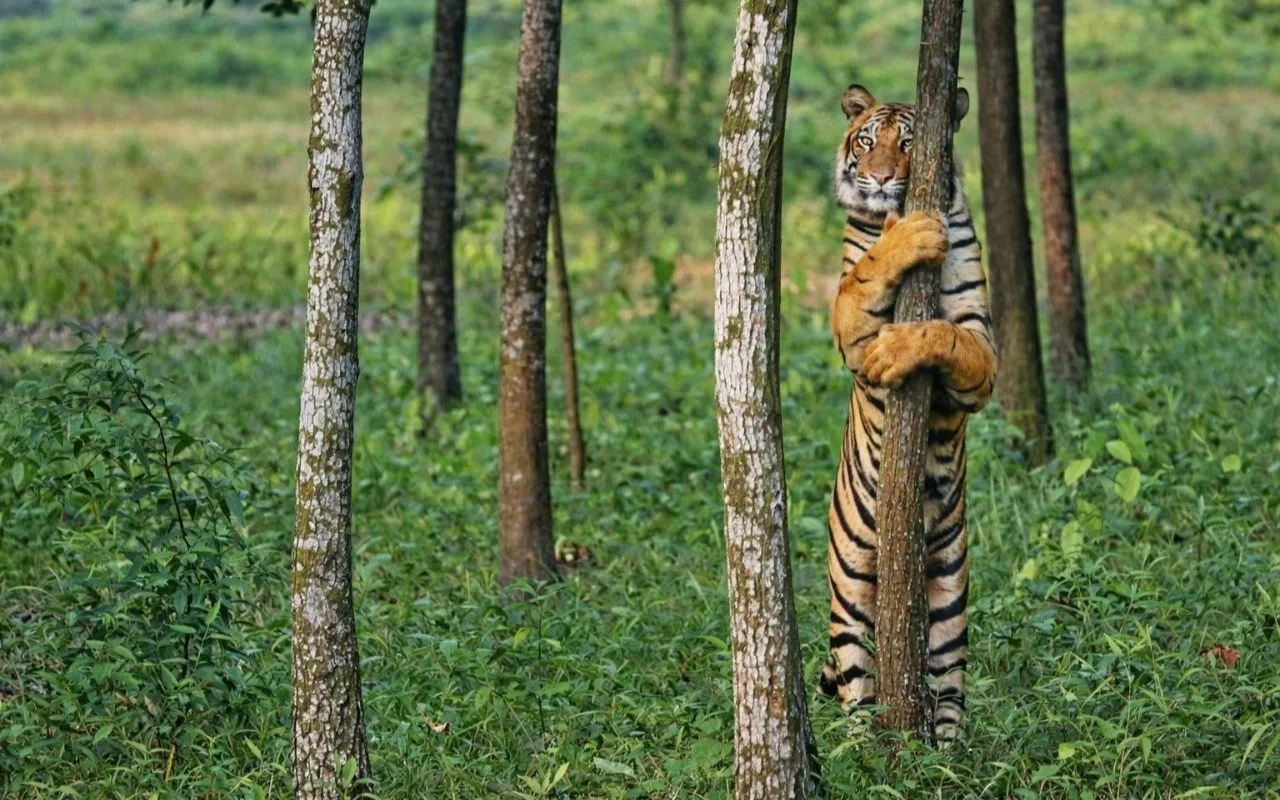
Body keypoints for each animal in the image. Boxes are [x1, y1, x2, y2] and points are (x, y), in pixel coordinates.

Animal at [817, 83, 997, 742]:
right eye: (867, 140)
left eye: (910, 143)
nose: (877, 179)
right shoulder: (849, 326)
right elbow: (866, 276)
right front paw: (905, 236)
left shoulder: (983, 347)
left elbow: (947, 334)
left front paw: (904, 346)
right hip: (850, 593)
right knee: (856, 686)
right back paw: (863, 748)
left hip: (950, 595)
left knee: (948, 688)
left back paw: (946, 750)